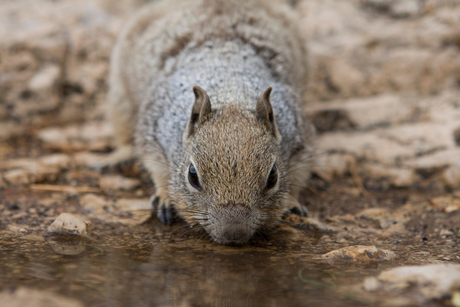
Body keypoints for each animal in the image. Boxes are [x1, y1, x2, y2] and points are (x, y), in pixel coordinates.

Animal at [102, 0, 314, 245]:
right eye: (192, 176)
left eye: (273, 177)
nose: (233, 233)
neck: (232, 97)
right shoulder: (154, 127)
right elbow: (156, 167)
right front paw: (165, 197)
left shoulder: (298, 135)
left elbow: (300, 171)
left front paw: (292, 201)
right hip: (121, 99)